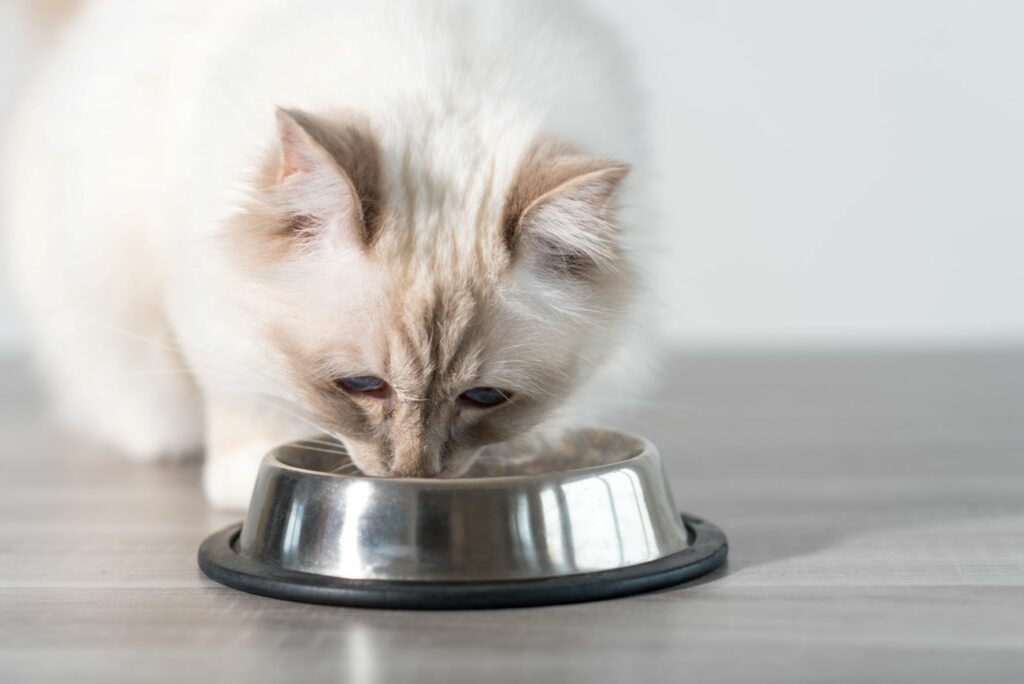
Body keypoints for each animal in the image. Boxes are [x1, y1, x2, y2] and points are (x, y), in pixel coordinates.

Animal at [2, 0, 647, 507]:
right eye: (361, 385)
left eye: (484, 398)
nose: (413, 475)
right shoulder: (209, 302)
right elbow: (245, 398)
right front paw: (246, 473)